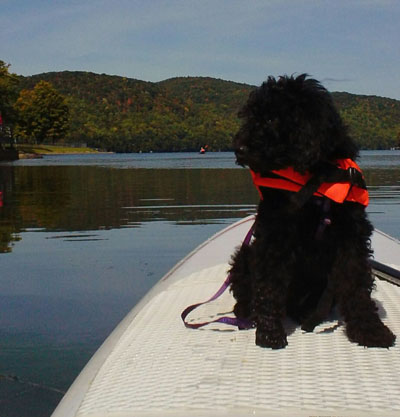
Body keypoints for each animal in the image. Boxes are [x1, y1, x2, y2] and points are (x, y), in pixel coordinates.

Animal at [230, 74, 396, 348]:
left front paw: (370, 330)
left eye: (271, 119)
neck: (317, 178)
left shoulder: (351, 235)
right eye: (251, 117)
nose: (239, 149)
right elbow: (268, 283)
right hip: (243, 255)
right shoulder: (274, 232)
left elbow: (356, 285)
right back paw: (246, 311)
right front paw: (269, 332)